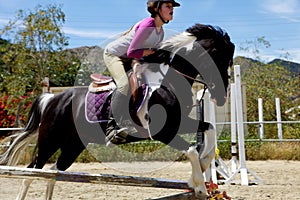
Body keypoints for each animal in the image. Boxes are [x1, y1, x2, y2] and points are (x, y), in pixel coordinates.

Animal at [0, 23, 234, 200]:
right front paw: (199, 186)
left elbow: (209, 129)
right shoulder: (163, 132)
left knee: (52, 171)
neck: (168, 80)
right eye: (219, 59)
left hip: (73, 145)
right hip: (50, 141)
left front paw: (204, 166)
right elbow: (192, 150)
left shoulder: (178, 123)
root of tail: (52, 99)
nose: (222, 97)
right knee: (32, 171)